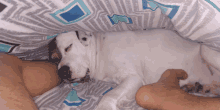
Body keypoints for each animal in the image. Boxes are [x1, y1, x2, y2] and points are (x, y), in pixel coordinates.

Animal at [52, 28, 220, 109]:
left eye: (68, 47)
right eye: (54, 59)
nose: (62, 72)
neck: (99, 51)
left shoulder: (133, 78)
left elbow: (110, 95)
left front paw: (105, 106)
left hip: (205, 49)